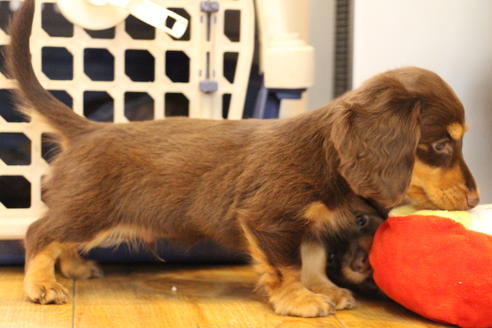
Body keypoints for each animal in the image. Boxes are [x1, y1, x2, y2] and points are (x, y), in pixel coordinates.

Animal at [5, 0, 478, 318]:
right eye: (442, 145)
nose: (475, 201)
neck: (324, 155)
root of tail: (89, 130)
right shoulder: (268, 219)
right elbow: (287, 265)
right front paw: (300, 300)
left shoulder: (306, 225)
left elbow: (310, 258)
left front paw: (324, 289)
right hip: (89, 210)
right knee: (39, 233)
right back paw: (41, 284)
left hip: (86, 214)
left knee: (60, 238)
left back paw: (73, 268)